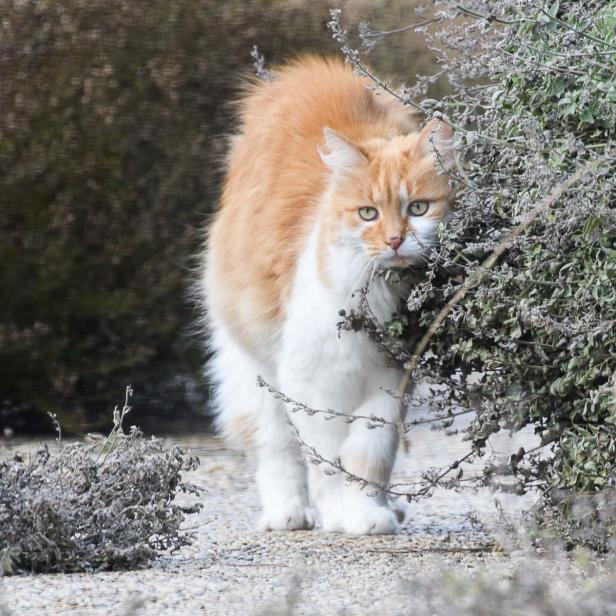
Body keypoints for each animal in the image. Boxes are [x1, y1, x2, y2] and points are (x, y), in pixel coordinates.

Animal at [200, 54, 454, 536]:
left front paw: (369, 513)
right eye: (368, 214)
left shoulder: (389, 382)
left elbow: (369, 455)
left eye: (418, 208)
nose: (396, 241)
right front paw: (340, 513)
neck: (379, 297)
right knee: (276, 449)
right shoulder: (313, 383)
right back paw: (288, 513)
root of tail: (308, 71)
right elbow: (329, 462)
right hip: (257, 369)